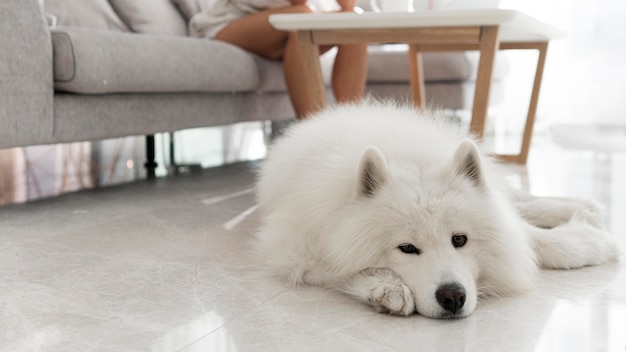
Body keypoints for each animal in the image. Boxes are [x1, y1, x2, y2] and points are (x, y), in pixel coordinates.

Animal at [251, 102, 616, 320]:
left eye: (460, 240)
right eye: (407, 248)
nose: (453, 297)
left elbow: (529, 237)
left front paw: (588, 242)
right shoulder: (291, 246)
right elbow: (338, 269)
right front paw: (387, 289)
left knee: (519, 200)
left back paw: (581, 207)